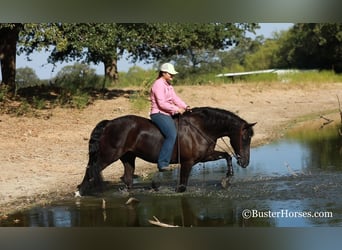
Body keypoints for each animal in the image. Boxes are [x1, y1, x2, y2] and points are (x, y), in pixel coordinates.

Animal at [76, 106, 255, 195]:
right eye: (245, 138)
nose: (245, 163)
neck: (201, 128)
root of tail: (109, 124)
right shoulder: (188, 162)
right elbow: (182, 187)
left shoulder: (204, 156)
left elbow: (227, 156)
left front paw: (226, 180)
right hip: (109, 155)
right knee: (92, 170)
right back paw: (80, 193)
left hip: (128, 157)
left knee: (126, 179)